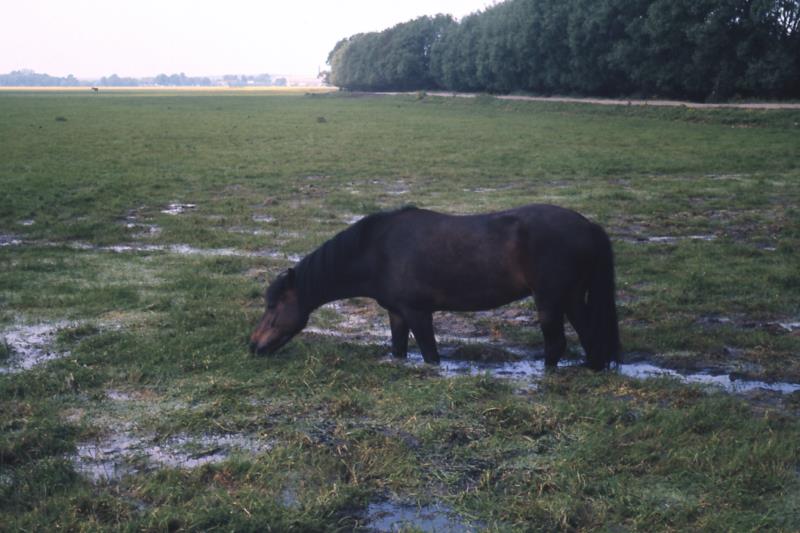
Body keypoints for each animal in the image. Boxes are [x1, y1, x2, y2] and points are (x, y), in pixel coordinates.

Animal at [250, 204, 620, 370]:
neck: (377, 250)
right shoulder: (398, 314)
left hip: (549, 302)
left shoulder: (418, 313)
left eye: (273, 306)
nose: (253, 345)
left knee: (556, 344)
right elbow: (399, 349)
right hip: (572, 298)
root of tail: (588, 226)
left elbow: (430, 354)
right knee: (590, 338)